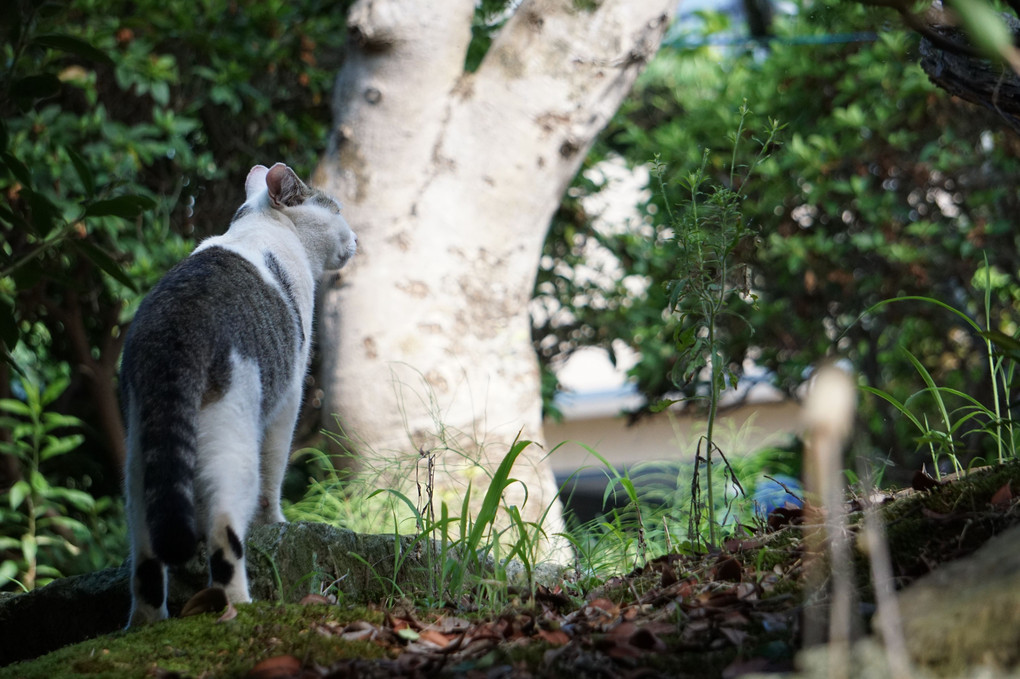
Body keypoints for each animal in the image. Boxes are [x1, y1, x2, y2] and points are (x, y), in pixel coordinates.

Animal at [119, 163, 357, 623]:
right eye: (336, 209)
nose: (356, 238)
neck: (262, 225)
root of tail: (173, 331)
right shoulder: (289, 397)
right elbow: (274, 472)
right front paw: (275, 523)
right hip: (233, 438)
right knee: (225, 527)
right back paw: (238, 607)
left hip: (140, 458)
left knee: (146, 556)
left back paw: (146, 623)